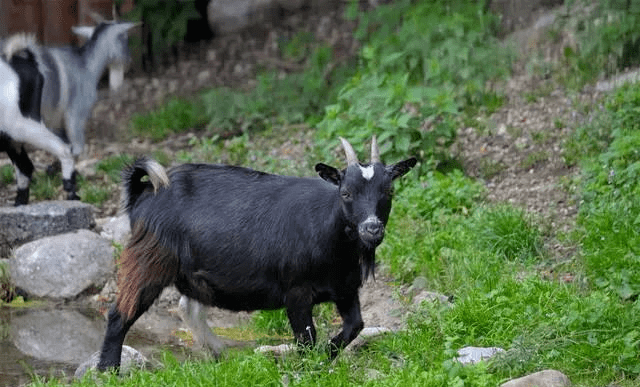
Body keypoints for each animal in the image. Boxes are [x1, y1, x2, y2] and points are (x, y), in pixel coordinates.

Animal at [95, 138, 416, 372]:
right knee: (120, 313)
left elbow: (355, 325)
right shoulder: (296, 291)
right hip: (148, 259)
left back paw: (219, 355)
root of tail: (144, 193)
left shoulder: (345, 287)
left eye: (388, 191)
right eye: (346, 193)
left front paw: (326, 356)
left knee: (189, 307)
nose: (372, 228)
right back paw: (108, 371)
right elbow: (306, 337)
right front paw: (309, 366)